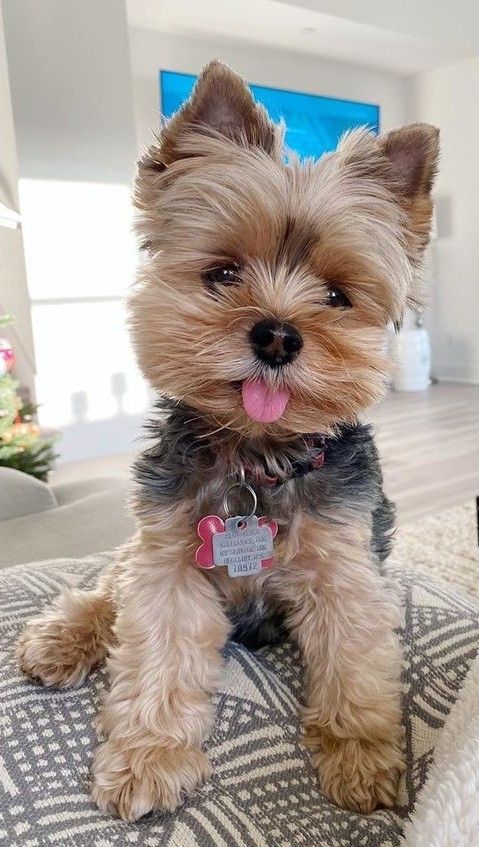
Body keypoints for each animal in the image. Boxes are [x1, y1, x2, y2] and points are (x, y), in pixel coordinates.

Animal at [16, 61, 440, 820]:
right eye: (221, 273)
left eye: (337, 295)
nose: (276, 335)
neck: (257, 453)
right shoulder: (170, 561)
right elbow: (155, 648)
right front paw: (149, 758)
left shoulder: (345, 567)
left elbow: (354, 663)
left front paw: (361, 758)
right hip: (142, 544)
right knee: (110, 584)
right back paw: (60, 638)